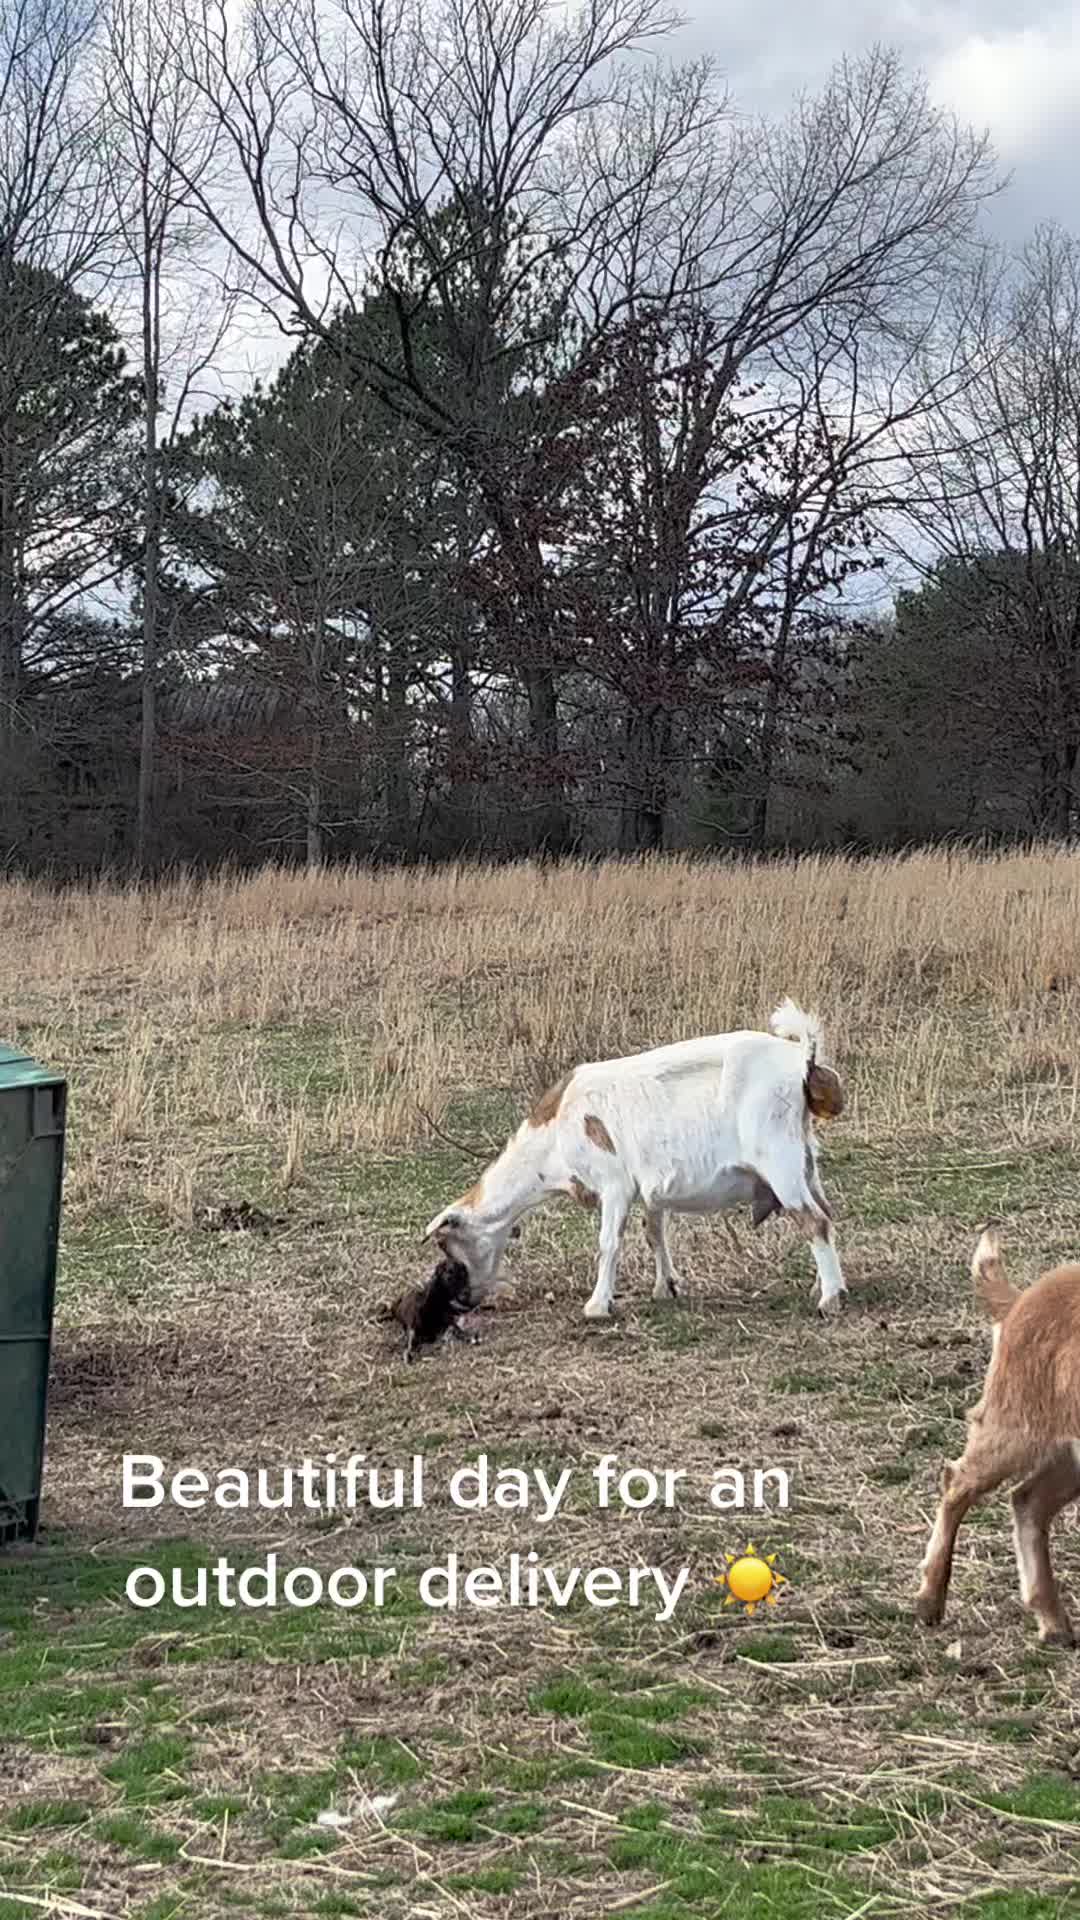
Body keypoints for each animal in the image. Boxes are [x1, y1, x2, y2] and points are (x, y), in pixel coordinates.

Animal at [422, 997, 846, 1320]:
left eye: (450, 1252)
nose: (465, 1300)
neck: (554, 1134)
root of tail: (802, 1060)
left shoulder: (615, 1184)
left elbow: (609, 1242)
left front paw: (597, 1305)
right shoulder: (650, 1188)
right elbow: (654, 1231)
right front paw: (665, 1287)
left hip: (779, 1161)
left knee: (815, 1222)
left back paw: (829, 1299)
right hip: (805, 1162)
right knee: (825, 1214)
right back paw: (825, 1286)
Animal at [915, 1229, 1080, 1645]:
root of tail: (1020, 1301)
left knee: (1028, 1500)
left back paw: (1053, 1622)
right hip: (1014, 1423)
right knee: (957, 1482)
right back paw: (929, 1601)